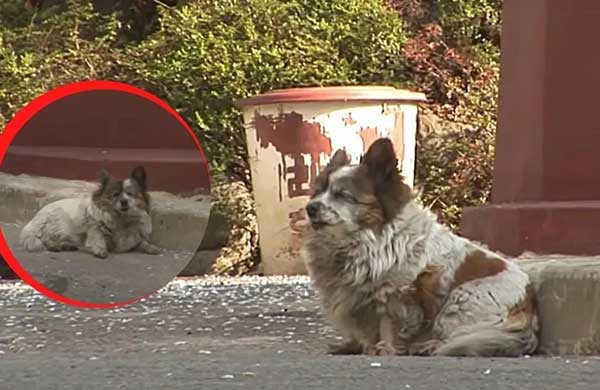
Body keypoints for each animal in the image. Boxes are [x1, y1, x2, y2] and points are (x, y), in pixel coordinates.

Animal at [19, 165, 161, 258]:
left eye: (130, 194)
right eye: (115, 195)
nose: (124, 202)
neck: (121, 219)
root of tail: (35, 219)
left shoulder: (132, 238)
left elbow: (141, 242)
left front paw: (151, 247)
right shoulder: (94, 228)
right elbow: (97, 237)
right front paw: (100, 249)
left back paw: (65, 246)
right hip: (59, 223)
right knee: (45, 240)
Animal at [300, 139, 540, 358]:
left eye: (343, 195)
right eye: (318, 192)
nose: (310, 208)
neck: (367, 238)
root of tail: (528, 310)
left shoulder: (397, 295)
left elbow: (390, 327)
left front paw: (385, 349)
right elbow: (366, 330)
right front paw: (357, 346)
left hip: (458, 301)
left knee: (462, 335)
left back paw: (429, 346)